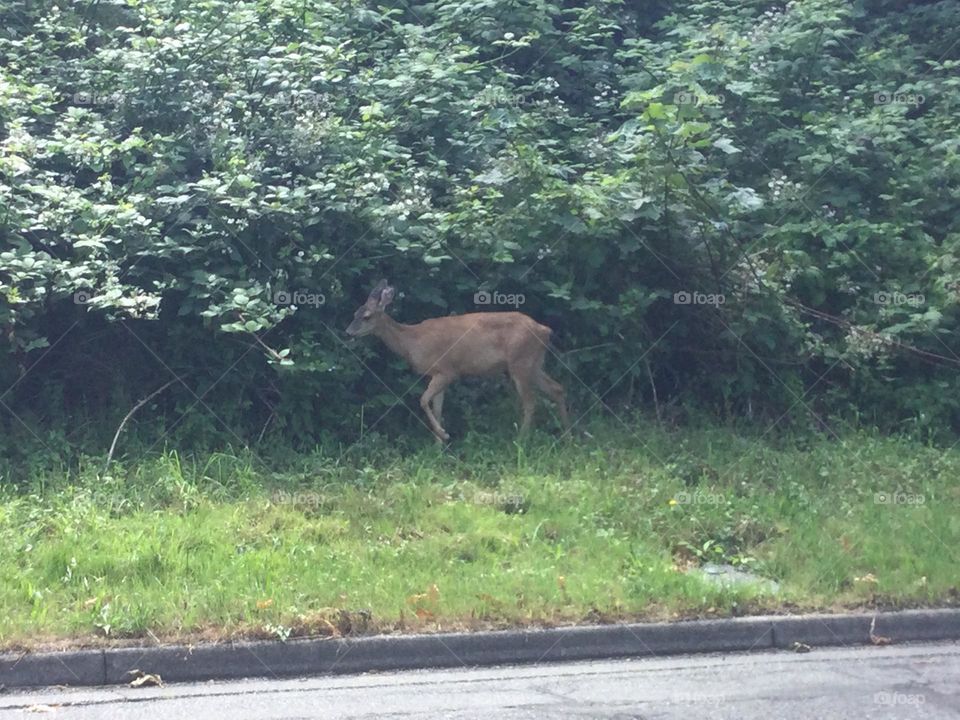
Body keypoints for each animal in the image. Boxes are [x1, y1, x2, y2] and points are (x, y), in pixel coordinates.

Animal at [345, 279, 571, 443]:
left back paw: (522, 439)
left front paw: (443, 435)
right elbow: (436, 407)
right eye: (355, 312)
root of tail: (544, 330)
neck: (412, 341)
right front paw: (439, 445)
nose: (348, 332)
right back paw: (567, 436)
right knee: (557, 388)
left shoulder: (446, 370)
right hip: (534, 363)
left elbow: (422, 400)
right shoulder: (438, 375)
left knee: (531, 401)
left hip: (520, 362)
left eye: (366, 316)